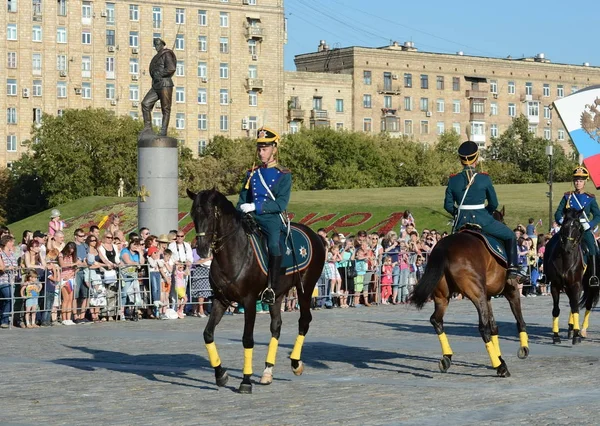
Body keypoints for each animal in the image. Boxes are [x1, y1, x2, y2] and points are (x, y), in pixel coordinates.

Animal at [189, 188, 326, 394]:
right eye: (193, 215)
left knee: (304, 321)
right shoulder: (220, 300)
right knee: (276, 326)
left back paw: (295, 363)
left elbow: (247, 339)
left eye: (210, 213)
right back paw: (267, 371)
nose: (202, 249)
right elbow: (208, 334)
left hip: (305, 288)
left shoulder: (249, 302)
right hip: (277, 294)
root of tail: (314, 235)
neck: (233, 253)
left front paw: (245, 381)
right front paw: (220, 374)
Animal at [408, 208, 528, 378]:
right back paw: (501, 367)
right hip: (476, 294)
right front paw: (521, 349)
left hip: (443, 297)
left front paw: (498, 356)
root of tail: (445, 247)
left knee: (436, 320)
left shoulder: (487, 297)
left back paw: (447, 357)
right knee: (482, 327)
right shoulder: (511, 291)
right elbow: (519, 320)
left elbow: (494, 327)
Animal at [544, 208, 600, 344]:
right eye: (564, 225)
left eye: (577, 226)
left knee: (586, 304)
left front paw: (576, 335)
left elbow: (575, 308)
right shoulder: (555, 285)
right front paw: (556, 336)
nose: (567, 247)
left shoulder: (576, 285)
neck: (566, 258)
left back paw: (581, 330)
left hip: (588, 286)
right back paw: (571, 328)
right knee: (573, 303)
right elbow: (556, 309)